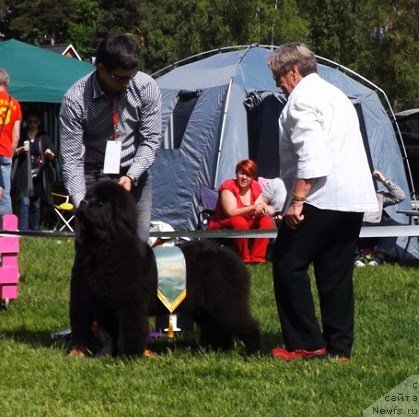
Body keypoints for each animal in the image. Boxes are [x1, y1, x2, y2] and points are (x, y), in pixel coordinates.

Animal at [74, 180, 260, 356]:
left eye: (101, 203)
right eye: (89, 196)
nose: (83, 202)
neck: (108, 248)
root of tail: (235, 260)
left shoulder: (130, 305)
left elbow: (130, 331)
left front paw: (127, 355)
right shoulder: (103, 306)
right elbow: (107, 335)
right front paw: (104, 355)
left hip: (226, 303)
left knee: (247, 324)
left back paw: (254, 352)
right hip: (206, 307)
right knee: (217, 329)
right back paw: (219, 350)